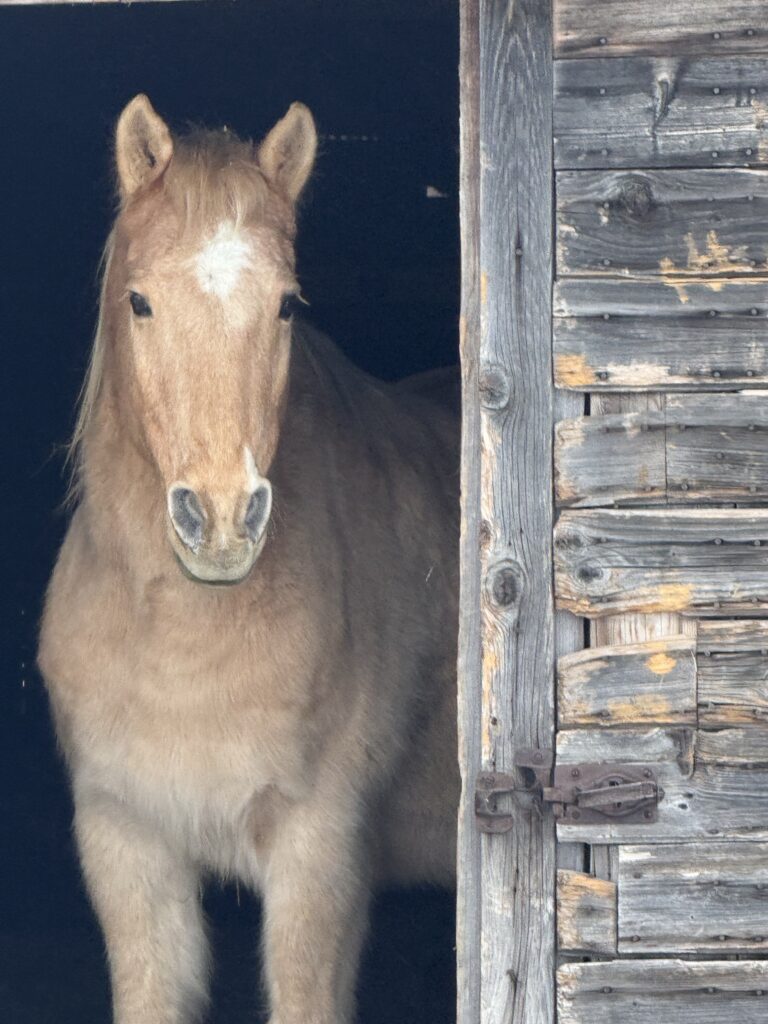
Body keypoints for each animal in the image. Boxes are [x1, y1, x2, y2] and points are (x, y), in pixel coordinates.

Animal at [38, 95, 459, 1024]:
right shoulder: (125, 846)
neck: (179, 648)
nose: (224, 518)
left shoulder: (319, 856)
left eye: (287, 306)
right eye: (139, 301)